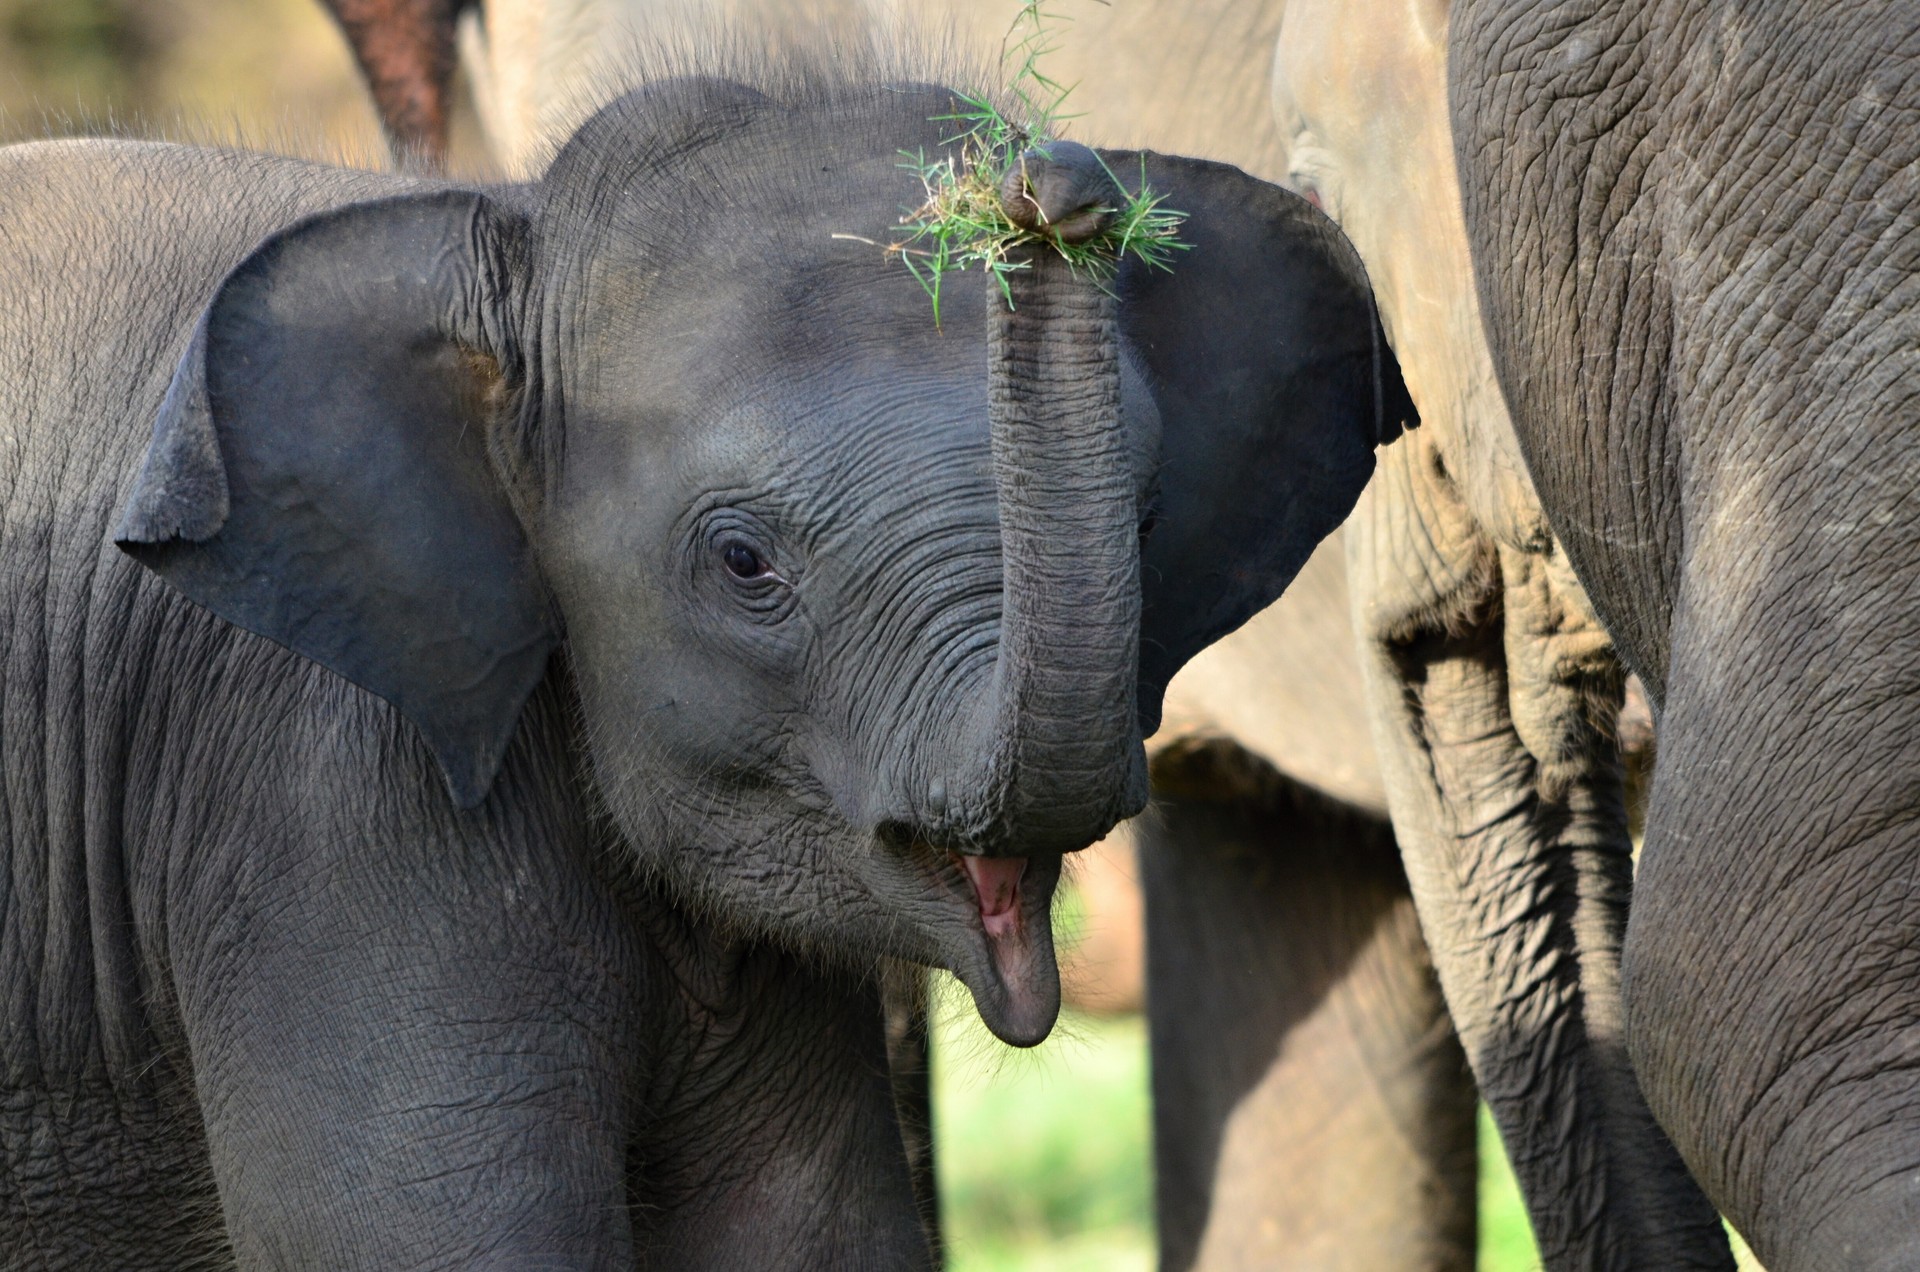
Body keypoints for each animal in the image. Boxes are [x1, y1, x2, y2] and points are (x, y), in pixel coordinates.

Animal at [0, 33, 1413, 1269]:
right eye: (744, 564)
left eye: (1149, 517)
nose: (1051, 190)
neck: (513, 229)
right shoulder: (327, 798)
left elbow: (810, 1236)